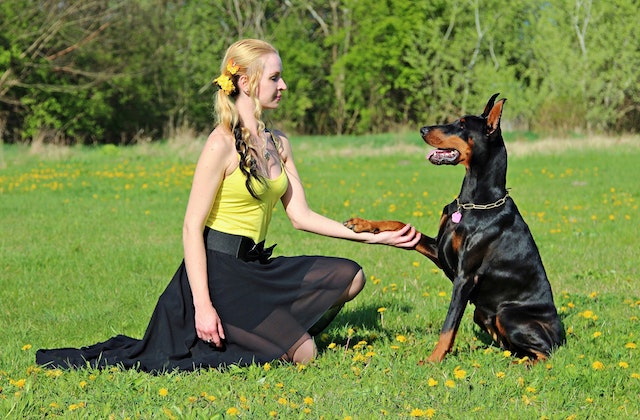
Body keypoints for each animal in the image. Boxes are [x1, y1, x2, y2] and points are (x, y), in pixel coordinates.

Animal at [345, 94, 564, 363]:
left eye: (461, 125)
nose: (422, 129)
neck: (473, 202)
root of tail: (562, 335)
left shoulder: (465, 277)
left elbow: (449, 325)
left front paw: (431, 361)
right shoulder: (440, 249)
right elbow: (401, 225)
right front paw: (363, 224)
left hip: (508, 314)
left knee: (545, 352)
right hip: (482, 313)